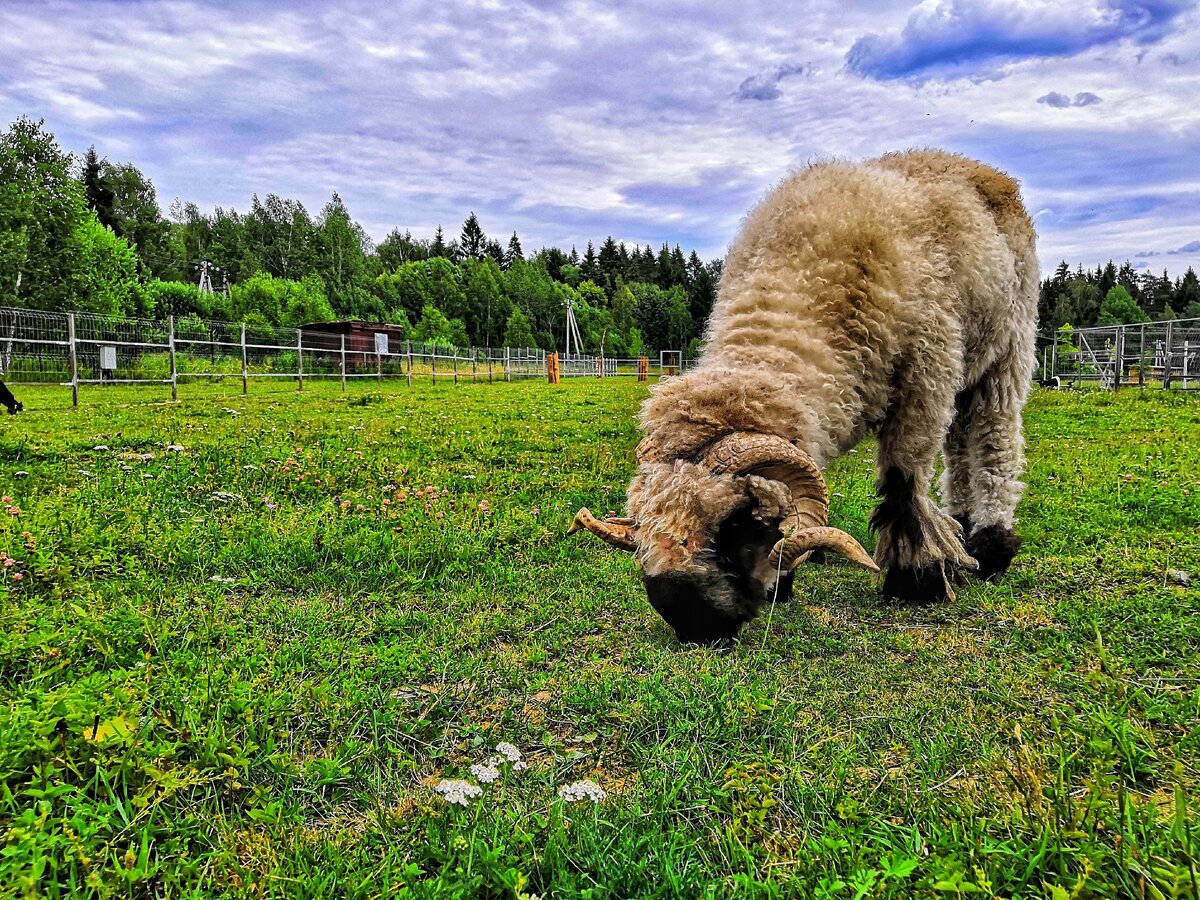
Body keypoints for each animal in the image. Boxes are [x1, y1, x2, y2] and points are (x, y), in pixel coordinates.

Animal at [566, 148, 1036, 643]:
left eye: (737, 521)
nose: (692, 622)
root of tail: (974, 166)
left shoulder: (925, 378)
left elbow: (904, 483)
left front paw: (916, 580)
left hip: (1006, 349)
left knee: (995, 439)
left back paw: (991, 543)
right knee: (960, 444)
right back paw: (961, 523)